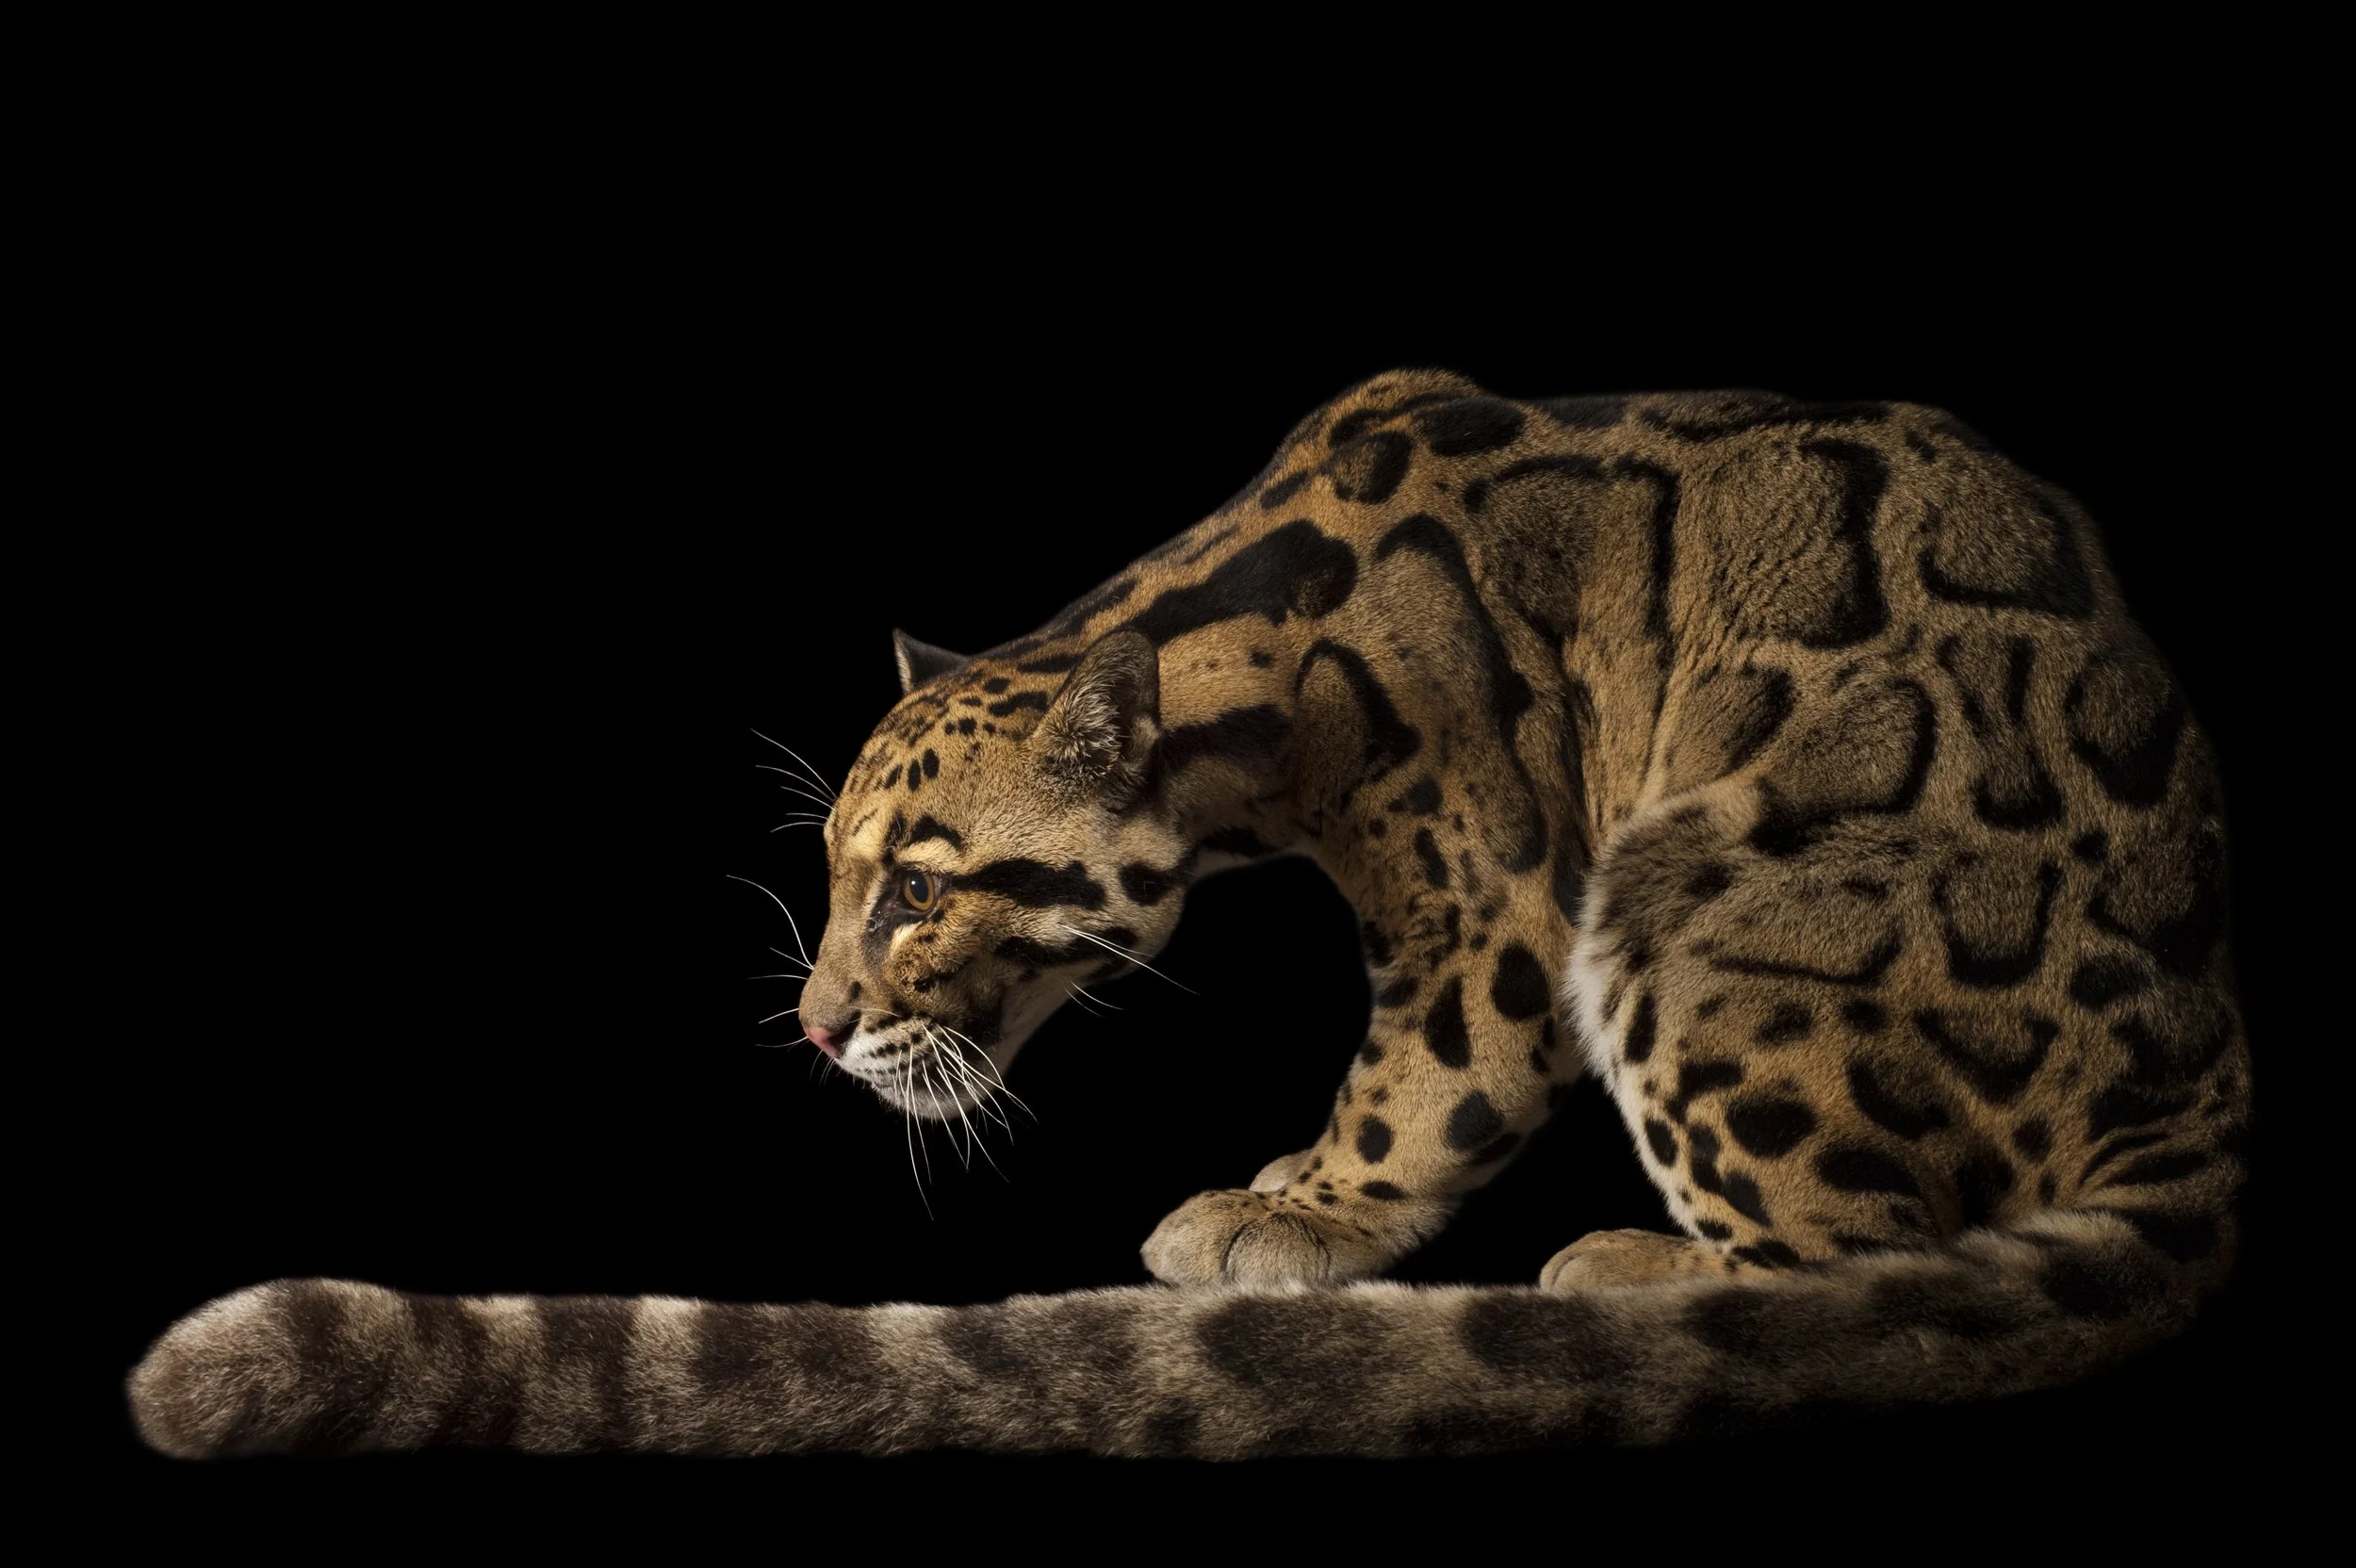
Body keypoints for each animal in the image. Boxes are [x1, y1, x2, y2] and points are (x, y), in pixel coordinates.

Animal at [130, 369, 2247, 1458]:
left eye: (918, 886)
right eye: (829, 875)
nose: (813, 1024)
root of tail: (2196, 1082)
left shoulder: (1500, 897)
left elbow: (1428, 1078)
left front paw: (1288, 1206)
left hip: (1682, 903)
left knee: (1845, 1262)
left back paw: (1637, 1266)